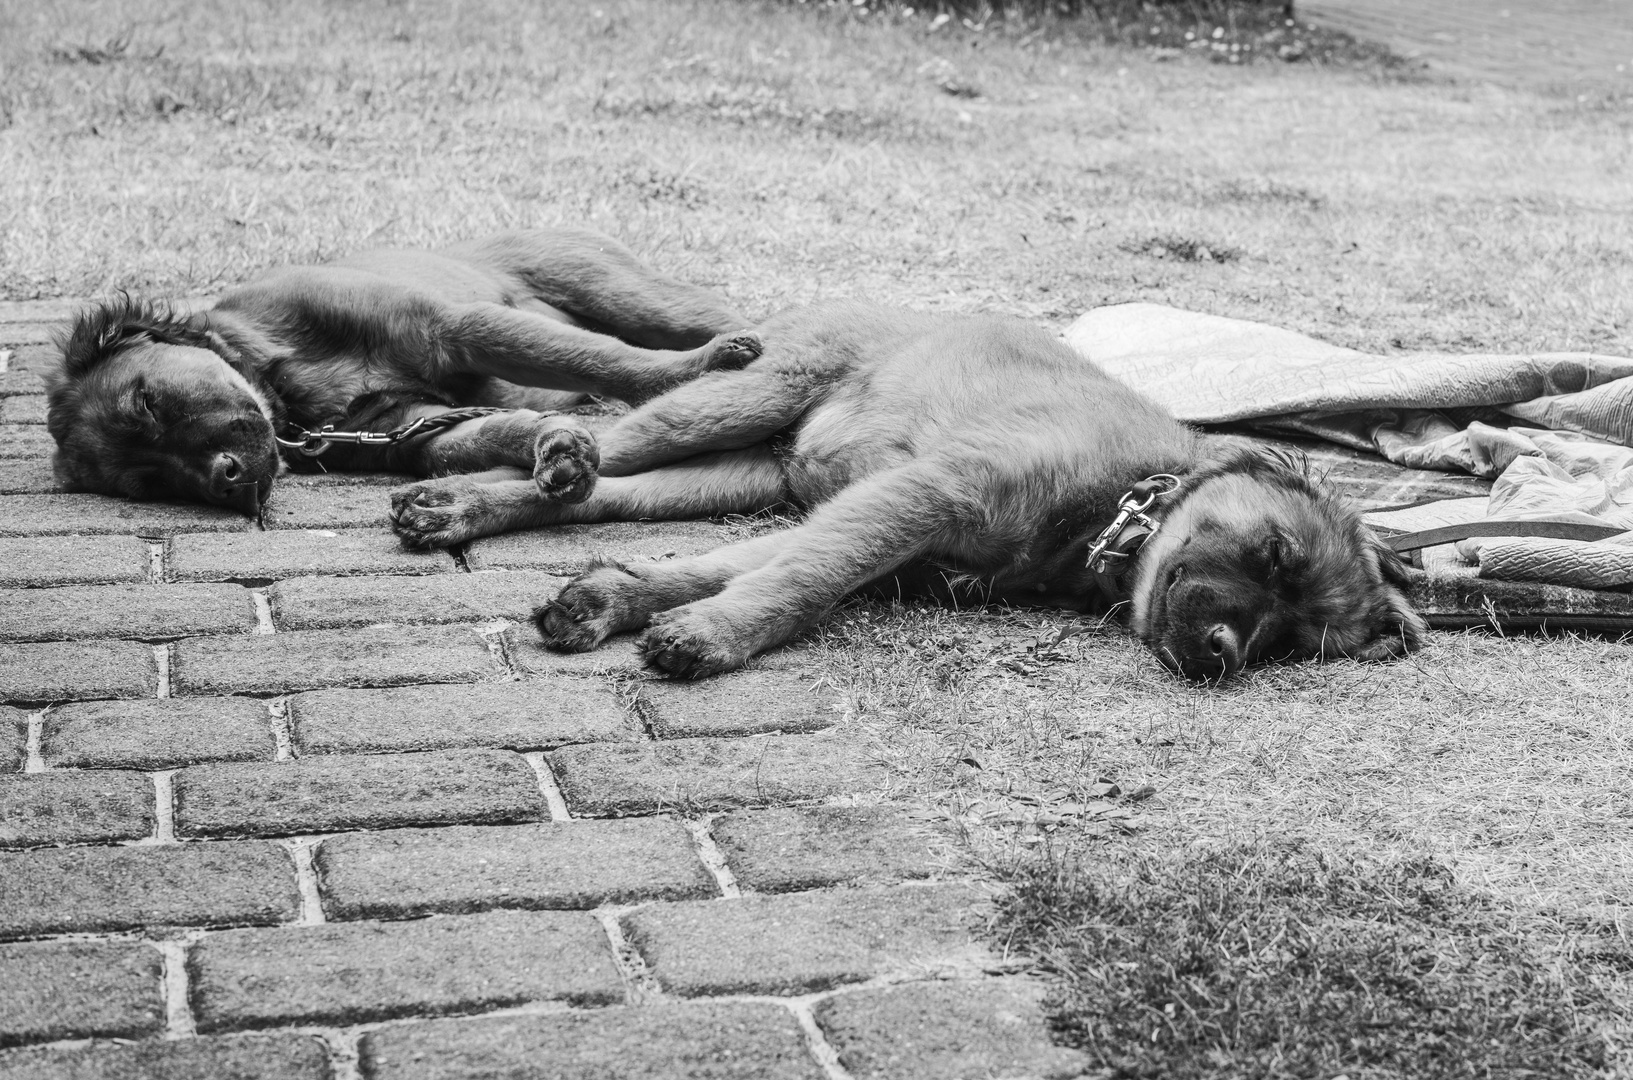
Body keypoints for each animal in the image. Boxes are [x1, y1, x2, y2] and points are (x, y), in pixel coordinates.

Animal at [44, 227, 757, 513]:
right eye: (148, 482)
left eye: (147, 402)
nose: (225, 480)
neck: (290, 391)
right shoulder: (413, 429)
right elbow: (499, 431)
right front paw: (556, 446)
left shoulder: (454, 329)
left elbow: (605, 362)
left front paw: (695, 373)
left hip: (625, 293)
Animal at [385, 299, 1430, 679]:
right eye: (1271, 554)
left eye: (1293, 644)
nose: (1222, 655)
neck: (1110, 512)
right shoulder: (922, 496)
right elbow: (806, 583)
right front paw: (718, 638)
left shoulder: (871, 520)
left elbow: (745, 567)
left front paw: (620, 600)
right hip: (739, 400)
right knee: (603, 443)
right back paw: (485, 468)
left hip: (742, 470)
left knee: (602, 493)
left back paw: (479, 502)